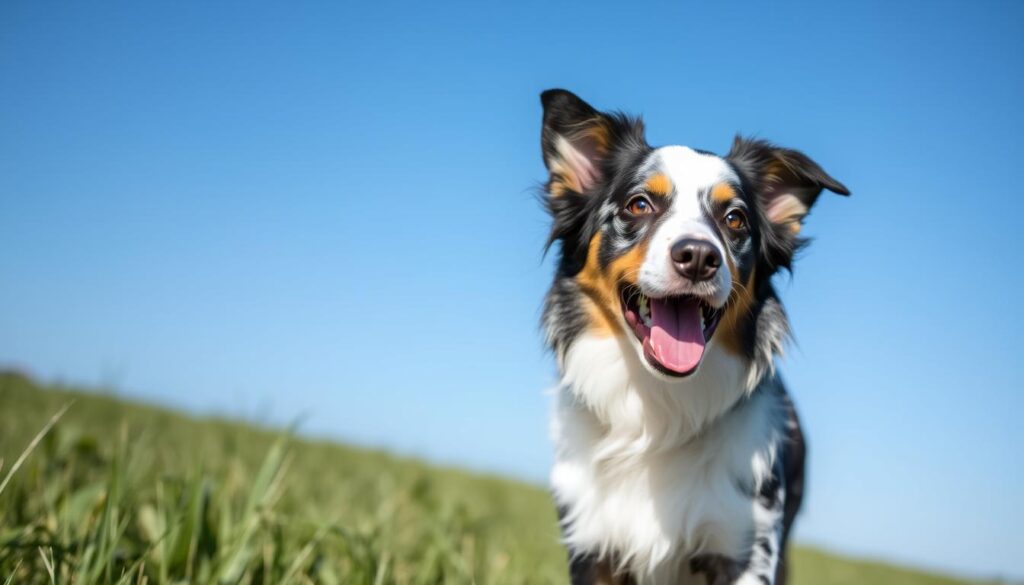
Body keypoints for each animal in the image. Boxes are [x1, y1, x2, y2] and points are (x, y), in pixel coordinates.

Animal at [536, 88, 847, 585]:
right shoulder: (592, 543)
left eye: (735, 218)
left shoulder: (746, 545)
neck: (658, 408)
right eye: (639, 204)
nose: (699, 256)